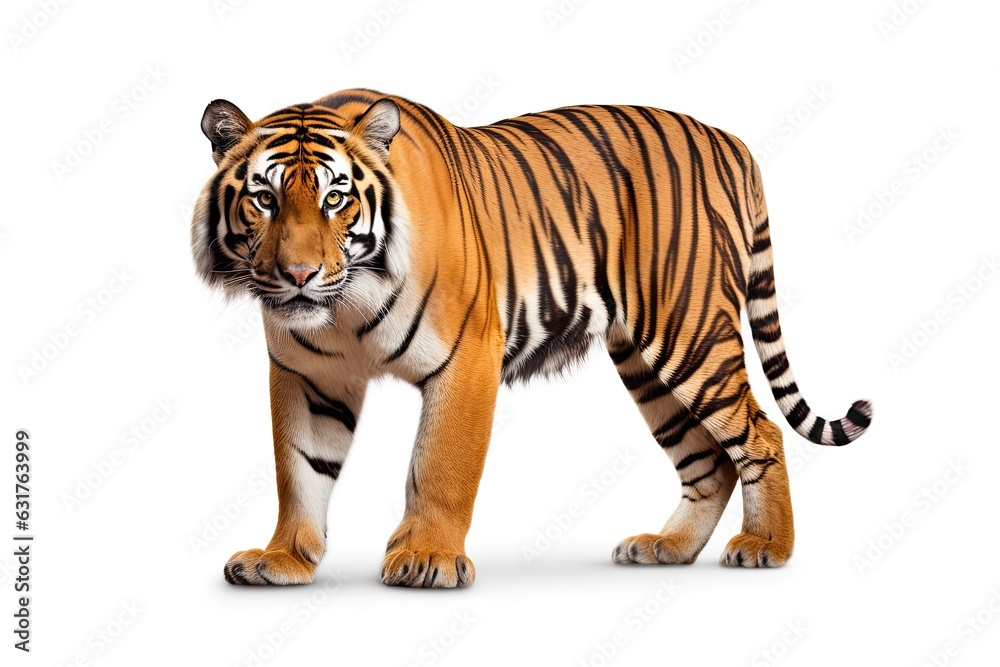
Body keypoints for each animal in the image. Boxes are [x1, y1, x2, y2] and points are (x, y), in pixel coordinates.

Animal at [191, 88, 873, 587]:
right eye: (264, 198)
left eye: (336, 198)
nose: (299, 275)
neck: (342, 309)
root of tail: (731, 141)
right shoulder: (308, 374)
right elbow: (299, 470)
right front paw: (284, 559)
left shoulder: (467, 356)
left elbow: (441, 465)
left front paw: (427, 559)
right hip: (646, 365)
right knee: (708, 458)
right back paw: (669, 547)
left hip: (691, 332)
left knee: (760, 432)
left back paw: (766, 546)